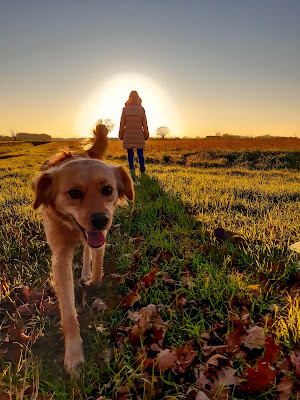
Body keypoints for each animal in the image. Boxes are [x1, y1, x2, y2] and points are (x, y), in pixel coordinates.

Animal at [31, 123, 134, 374]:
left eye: (108, 190)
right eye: (74, 193)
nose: (100, 220)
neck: (72, 226)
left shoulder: (100, 239)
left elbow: (98, 268)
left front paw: (92, 281)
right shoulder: (59, 256)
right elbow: (68, 312)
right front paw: (74, 354)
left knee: (88, 253)